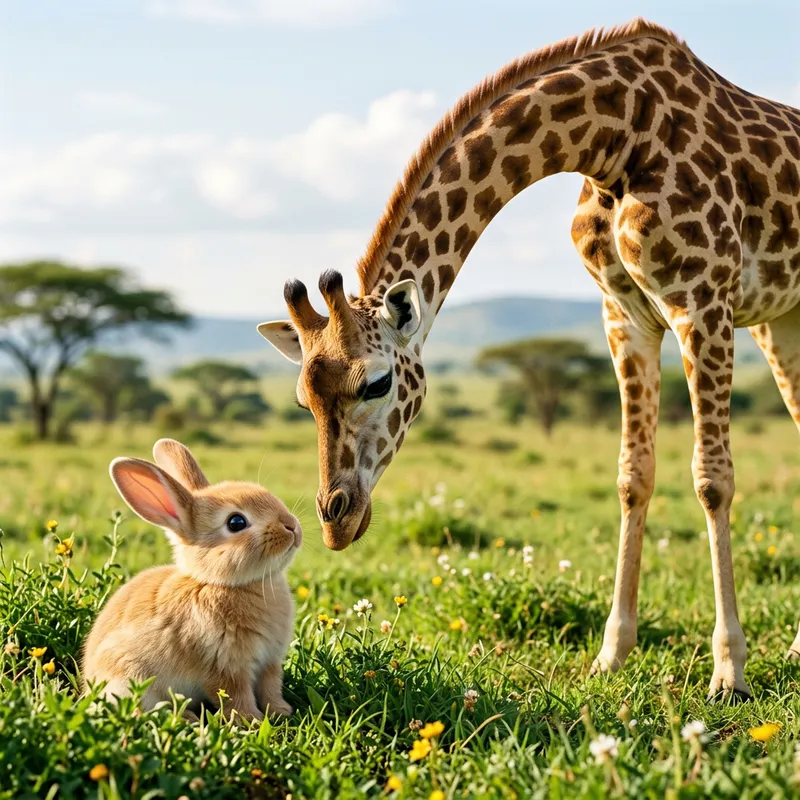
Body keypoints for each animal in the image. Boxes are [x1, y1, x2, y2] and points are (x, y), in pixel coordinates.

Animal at [82, 438, 302, 723]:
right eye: (236, 522)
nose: (291, 526)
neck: (219, 583)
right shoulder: (225, 666)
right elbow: (236, 696)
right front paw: (251, 720)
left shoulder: (270, 663)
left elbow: (271, 689)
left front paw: (281, 711)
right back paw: (187, 717)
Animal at [258, 18, 800, 700]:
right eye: (303, 398)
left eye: (378, 383)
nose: (335, 521)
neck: (618, 137)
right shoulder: (625, 315)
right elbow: (633, 476)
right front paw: (611, 655)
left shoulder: (703, 302)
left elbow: (711, 479)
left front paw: (729, 673)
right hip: (782, 320)